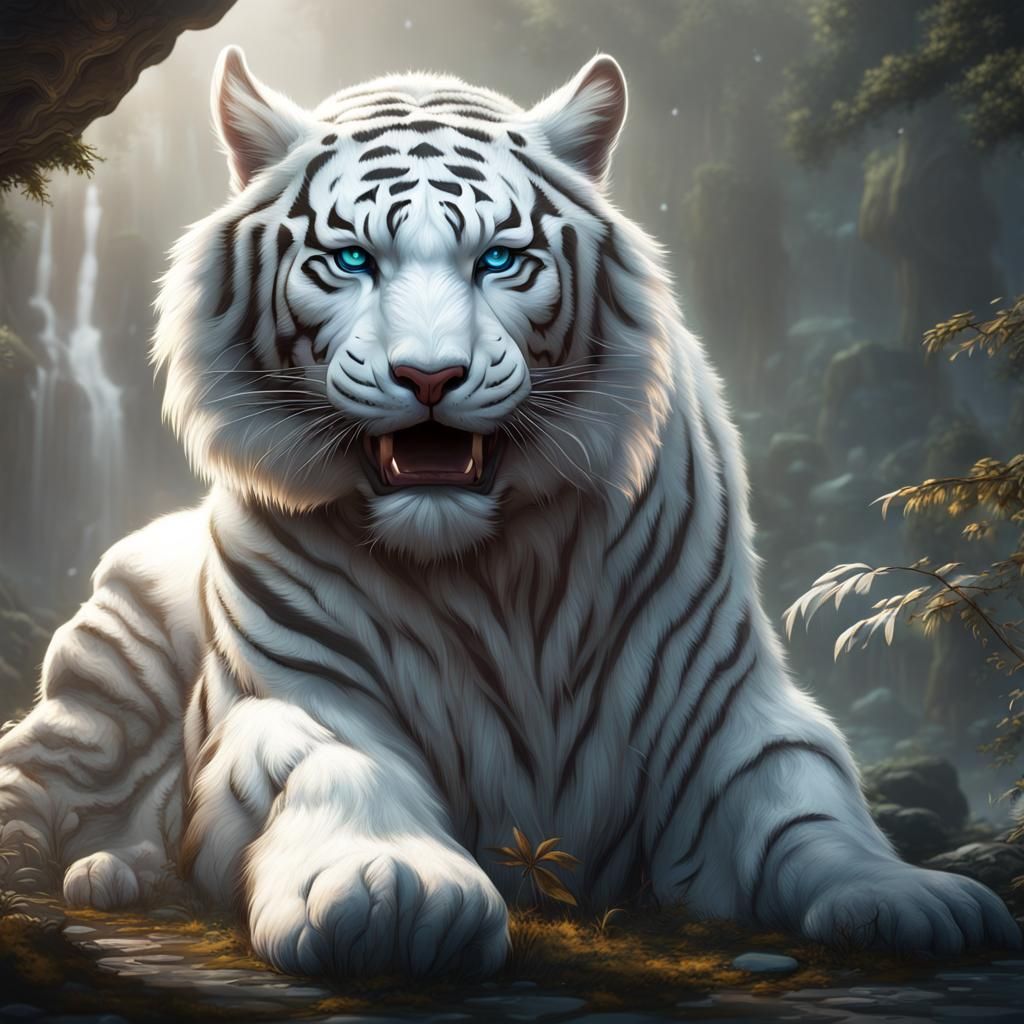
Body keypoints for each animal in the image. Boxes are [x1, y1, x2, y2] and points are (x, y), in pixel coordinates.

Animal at [0, 46, 1018, 978]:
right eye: (350, 259)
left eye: (500, 259)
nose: (430, 377)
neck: (487, 571)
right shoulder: (293, 691)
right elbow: (332, 764)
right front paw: (391, 891)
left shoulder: (719, 703)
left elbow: (806, 796)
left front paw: (912, 897)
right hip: (110, 670)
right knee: (33, 773)